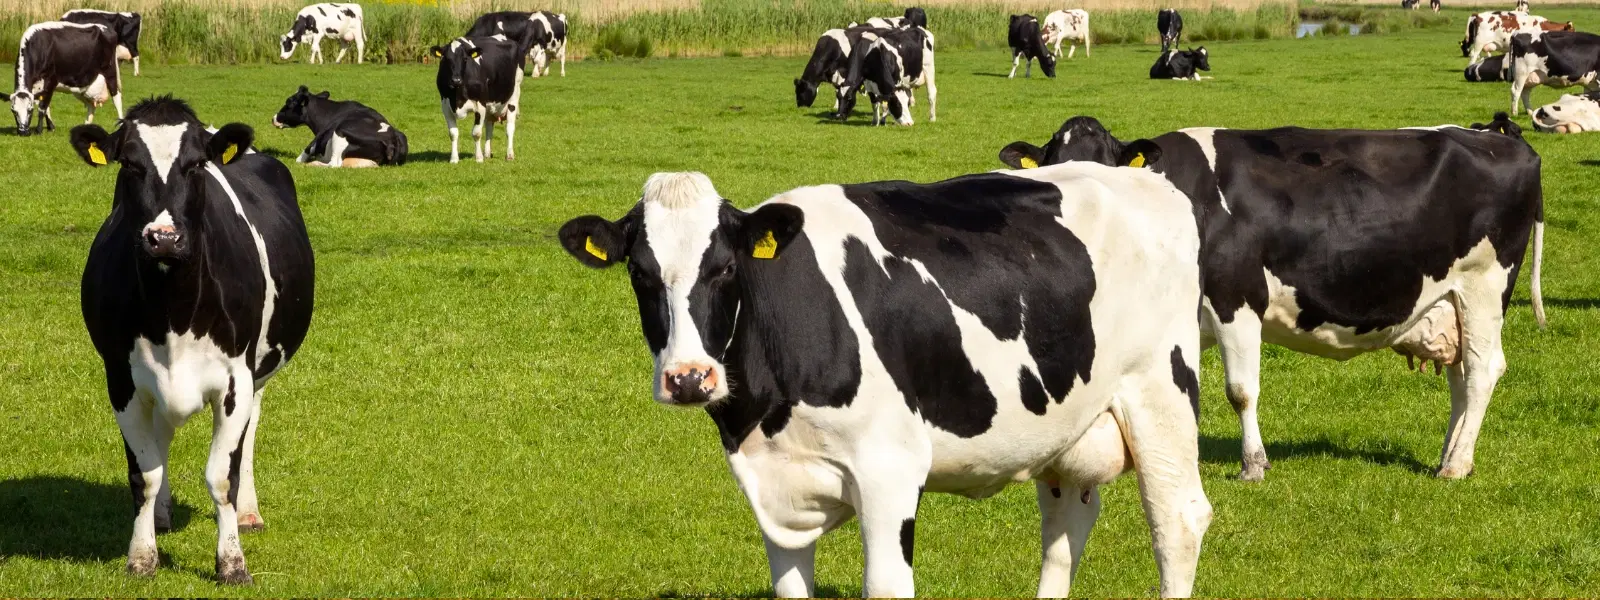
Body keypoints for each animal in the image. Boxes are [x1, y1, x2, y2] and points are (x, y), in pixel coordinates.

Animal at [69, 95, 315, 584]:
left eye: (196, 164)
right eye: (129, 163)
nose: (163, 238)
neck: (173, 312)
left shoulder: (236, 381)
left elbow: (222, 477)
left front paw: (232, 563)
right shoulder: (121, 380)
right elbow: (144, 474)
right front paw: (142, 556)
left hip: (258, 373)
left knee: (249, 436)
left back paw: (248, 513)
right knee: (161, 439)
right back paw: (162, 515)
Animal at [272, 86, 407, 167]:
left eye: (289, 103)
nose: (273, 118)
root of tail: (392, 139)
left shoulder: (316, 140)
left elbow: (302, 155)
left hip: (340, 132)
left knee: (334, 164)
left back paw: (313, 164)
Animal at [557, 169, 1211, 597]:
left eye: (723, 268)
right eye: (640, 274)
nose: (690, 377)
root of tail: (1146, 178)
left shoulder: (889, 471)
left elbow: (887, 585)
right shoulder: (775, 483)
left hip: (1161, 391)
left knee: (1177, 519)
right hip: (1066, 425)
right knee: (1064, 529)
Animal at [998, 114, 1545, 482]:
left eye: (1106, 171)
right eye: (1048, 168)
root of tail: (1500, 137)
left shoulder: (1237, 297)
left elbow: (1241, 390)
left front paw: (1253, 465)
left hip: (1486, 285)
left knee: (1483, 370)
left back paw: (1455, 464)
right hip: (1449, 300)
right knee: (1460, 376)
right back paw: (1452, 454)